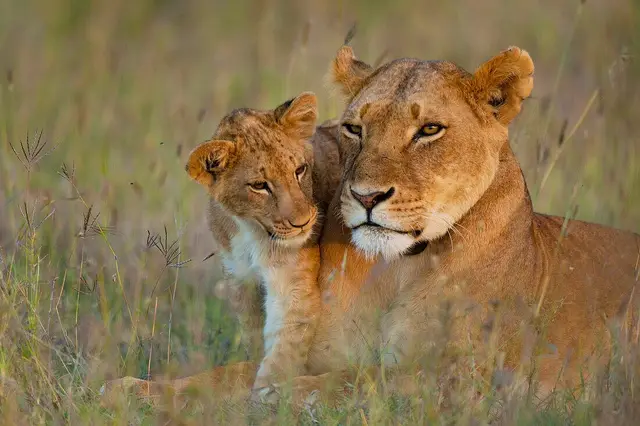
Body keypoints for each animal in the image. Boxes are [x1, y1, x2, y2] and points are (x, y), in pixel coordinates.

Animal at [102, 46, 640, 408]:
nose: (366, 197)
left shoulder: (468, 381)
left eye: (429, 130)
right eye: (355, 128)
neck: (399, 268)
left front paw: (275, 397)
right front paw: (132, 391)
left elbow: (353, 381)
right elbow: (225, 376)